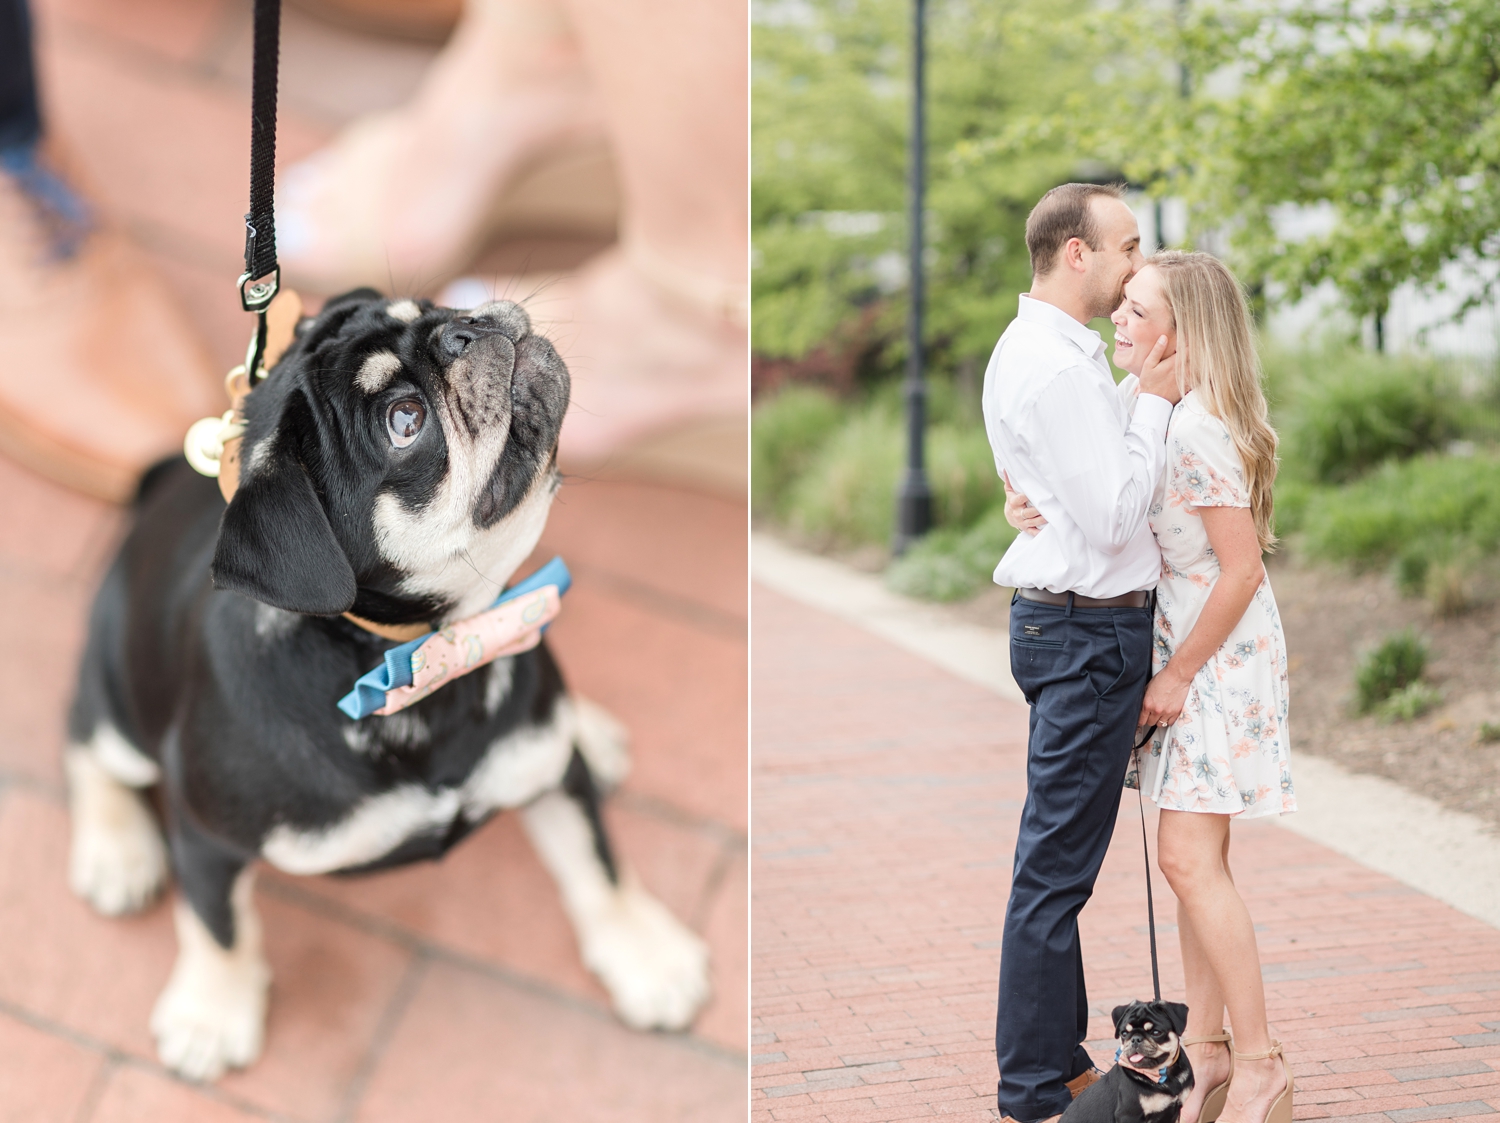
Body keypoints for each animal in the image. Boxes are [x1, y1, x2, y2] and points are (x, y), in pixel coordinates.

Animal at [74, 289, 714, 1079]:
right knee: (88, 744)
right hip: (116, 700)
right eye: (404, 422)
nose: (465, 327)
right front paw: (211, 1013)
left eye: (431, 306)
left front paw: (647, 956)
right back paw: (116, 851)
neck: (431, 657)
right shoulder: (206, 833)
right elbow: (217, 924)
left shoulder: (549, 767)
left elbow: (598, 862)